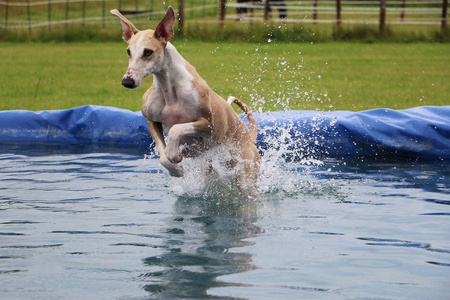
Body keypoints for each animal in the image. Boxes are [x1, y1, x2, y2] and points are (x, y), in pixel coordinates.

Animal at [110, 7, 260, 191]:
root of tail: (249, 138)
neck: (169, 89)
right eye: (128, 51)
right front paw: (176, 169)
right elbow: (163, 156)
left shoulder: (208, 124)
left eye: (148, 52)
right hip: (210, 167)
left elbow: (176, 129)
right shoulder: (151, 118)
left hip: (246, 170)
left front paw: (174, 154)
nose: (127, 81)